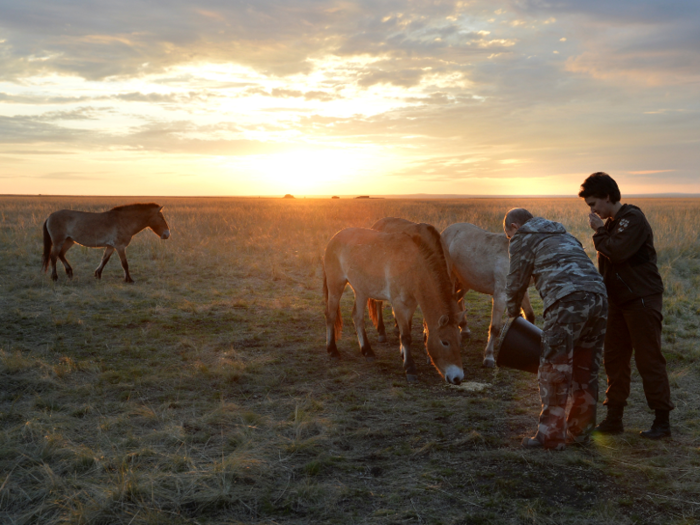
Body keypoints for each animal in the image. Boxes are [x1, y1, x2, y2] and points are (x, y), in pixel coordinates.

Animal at [42, 203, 171, 282]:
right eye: (161, 217)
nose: (167, 234)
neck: (124, 221)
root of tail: (49, 216)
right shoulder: (120, 246)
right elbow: (124, 263)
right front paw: (129, 279)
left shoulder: (111, 246)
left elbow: (104, 260)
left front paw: (97, 274)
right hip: (58, 241)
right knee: (53, 256)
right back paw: (55, 277)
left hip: (69, 241)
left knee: (61, 254)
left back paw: (69, 272)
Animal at [322, 223, 464, 382]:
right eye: (444, 342)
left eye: (459, 340)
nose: (457, 377)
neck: (413, 267)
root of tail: (334, 238)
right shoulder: (399, 304)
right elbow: (406, 336)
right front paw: (410, 368)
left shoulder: (411, 304)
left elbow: (406, 329)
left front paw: (403, 354)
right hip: (336, 284)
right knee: (330, 315)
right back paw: (332, 350)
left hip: (361, 291)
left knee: (357, 317)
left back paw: (367, 351)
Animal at [442, 223, 536, 366]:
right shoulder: (500, 295)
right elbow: (495, 327)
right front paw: (489, 357)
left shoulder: (522, 291)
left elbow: (530, 315)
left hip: (465, 280)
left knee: (458, 300)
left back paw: (464, 329)